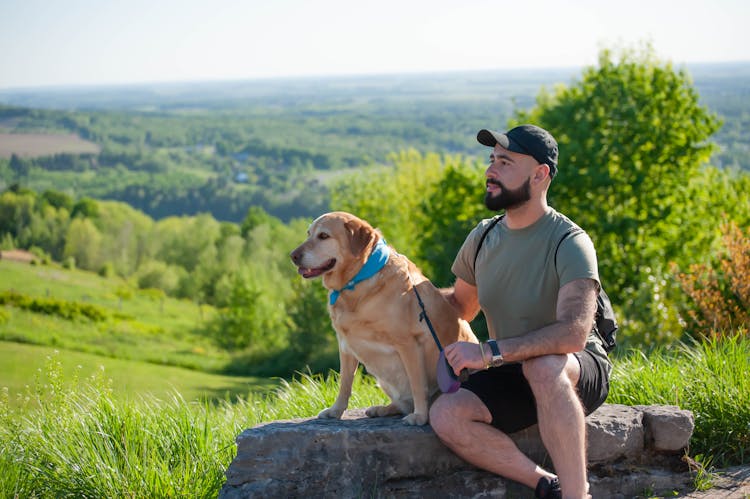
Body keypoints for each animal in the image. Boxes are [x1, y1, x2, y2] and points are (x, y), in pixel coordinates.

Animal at [290, 211, 478, 426]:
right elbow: (345, 383)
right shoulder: (345, 345)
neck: (357, 280)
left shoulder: (408, 344)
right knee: (402, 403)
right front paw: (336, 411)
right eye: (308, 234)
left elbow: (417, 384)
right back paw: (383, 409)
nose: (293, 256)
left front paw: (420, 416)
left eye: (323, 236)